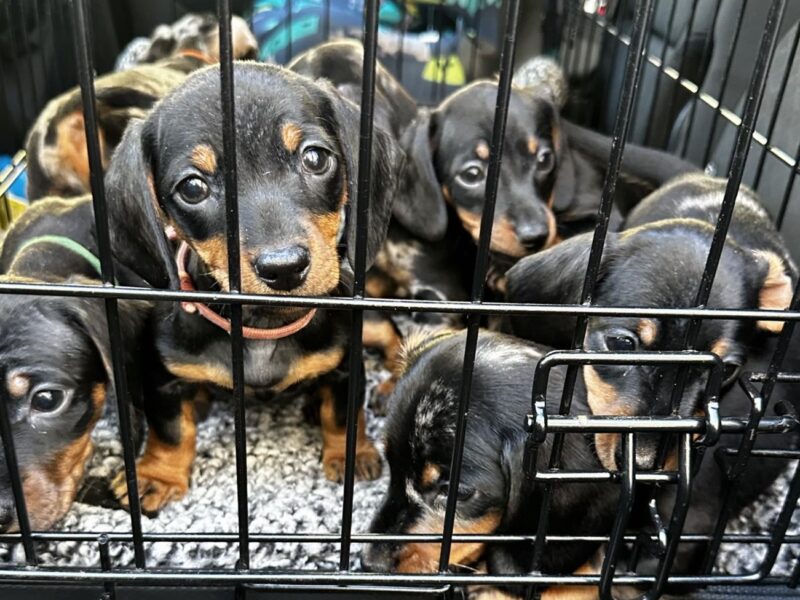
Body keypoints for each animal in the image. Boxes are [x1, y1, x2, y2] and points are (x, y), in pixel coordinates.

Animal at [104, 62, 406, 510]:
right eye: (192, 187)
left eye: (315, 158)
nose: (284, 268)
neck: (262, 324)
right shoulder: (163, 376)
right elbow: (171, 428)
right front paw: (158, 474)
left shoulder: (345, 366)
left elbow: (343, 414)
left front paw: (351, 453)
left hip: (367, 322)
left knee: (392, 338)